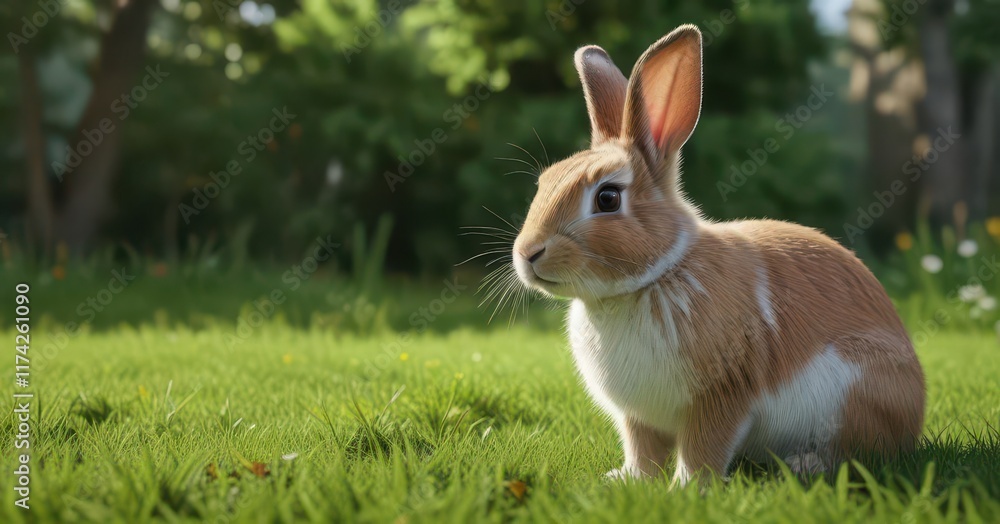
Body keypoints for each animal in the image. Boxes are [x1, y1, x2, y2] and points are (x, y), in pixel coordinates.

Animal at [511, 24, 925, 485]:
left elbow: (702, 448)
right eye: (545, 181)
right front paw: (627, 480)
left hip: (855, 393)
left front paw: (687, 488)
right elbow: (642, 450)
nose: (527, 253)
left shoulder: (722, 395)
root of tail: (916, 409)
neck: (653, 278)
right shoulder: (639, 416)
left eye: (607, 198)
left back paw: (805, 464)